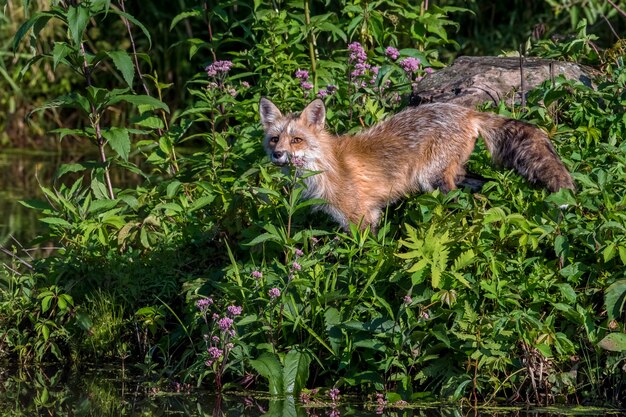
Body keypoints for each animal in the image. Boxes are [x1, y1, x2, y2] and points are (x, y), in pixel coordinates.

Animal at [256, 96, 572, 231]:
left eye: (296, 140)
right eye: (275, 139)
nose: (278, 155)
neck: (326, 167)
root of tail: (467, 112)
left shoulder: (361, 217)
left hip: (432, 180)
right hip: (456, 176)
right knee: (483, 186)